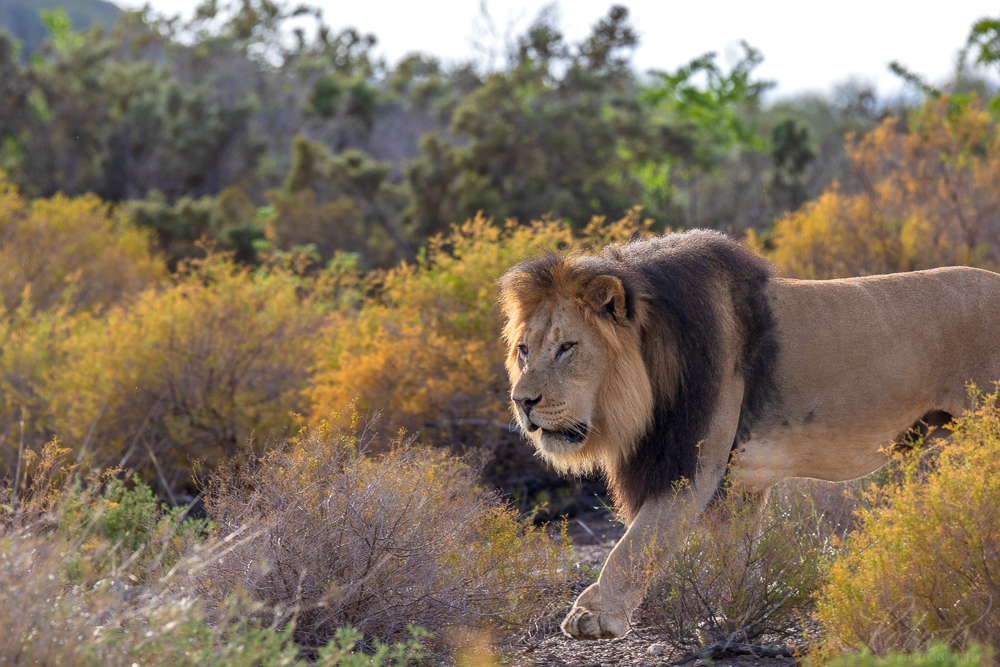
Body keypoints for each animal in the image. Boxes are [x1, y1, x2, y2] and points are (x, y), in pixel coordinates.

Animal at [498, 230, 1000, 641]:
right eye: (524, 350)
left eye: (567, 348)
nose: (522, 402)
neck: (652, 363)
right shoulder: (737, 485)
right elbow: (735, 557)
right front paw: (730, 619)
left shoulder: (693, 465)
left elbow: (637, 543)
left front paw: (595, 615)